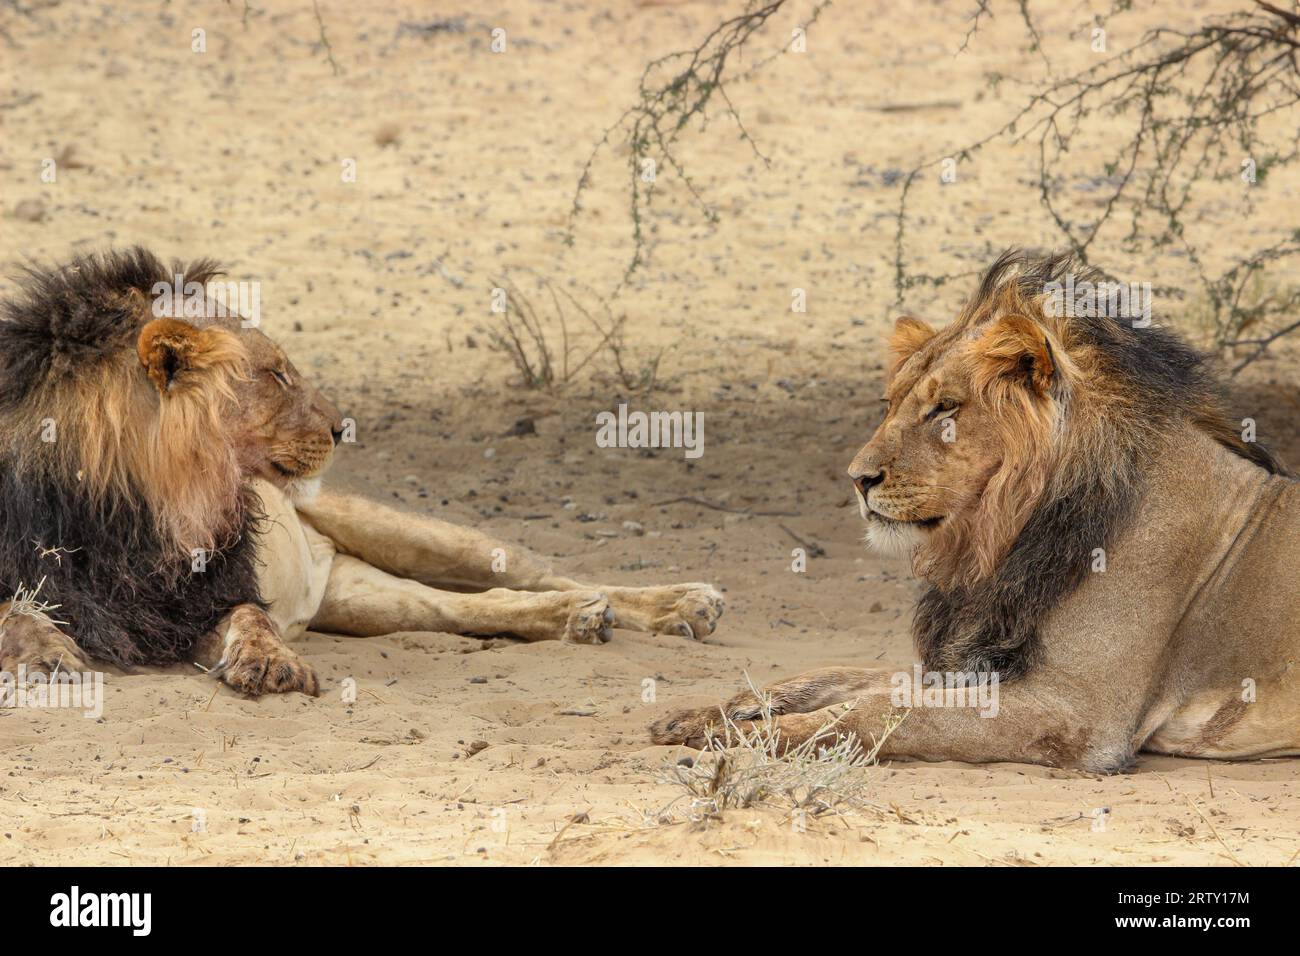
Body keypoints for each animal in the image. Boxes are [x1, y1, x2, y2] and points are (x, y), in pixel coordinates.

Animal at [0, 248, 722, 697]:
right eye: (277, 374)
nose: (342, 426)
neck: (132, 501)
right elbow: (14, 610)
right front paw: (45, 656)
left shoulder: (207, 594)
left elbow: (251, 618)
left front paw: (272, 663)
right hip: (361, 600)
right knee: (469, 608)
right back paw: (581, 621)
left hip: (417, 534)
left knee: (543, 574)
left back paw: (675, 603)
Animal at [655, 251, 1300, 775]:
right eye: (889, 404)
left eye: (945, 407)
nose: (858, 479)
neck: (1002, 537)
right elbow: (836, 676)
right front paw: (708, 715)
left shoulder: (1077, 713)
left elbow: (877, 708)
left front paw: (744, 741)